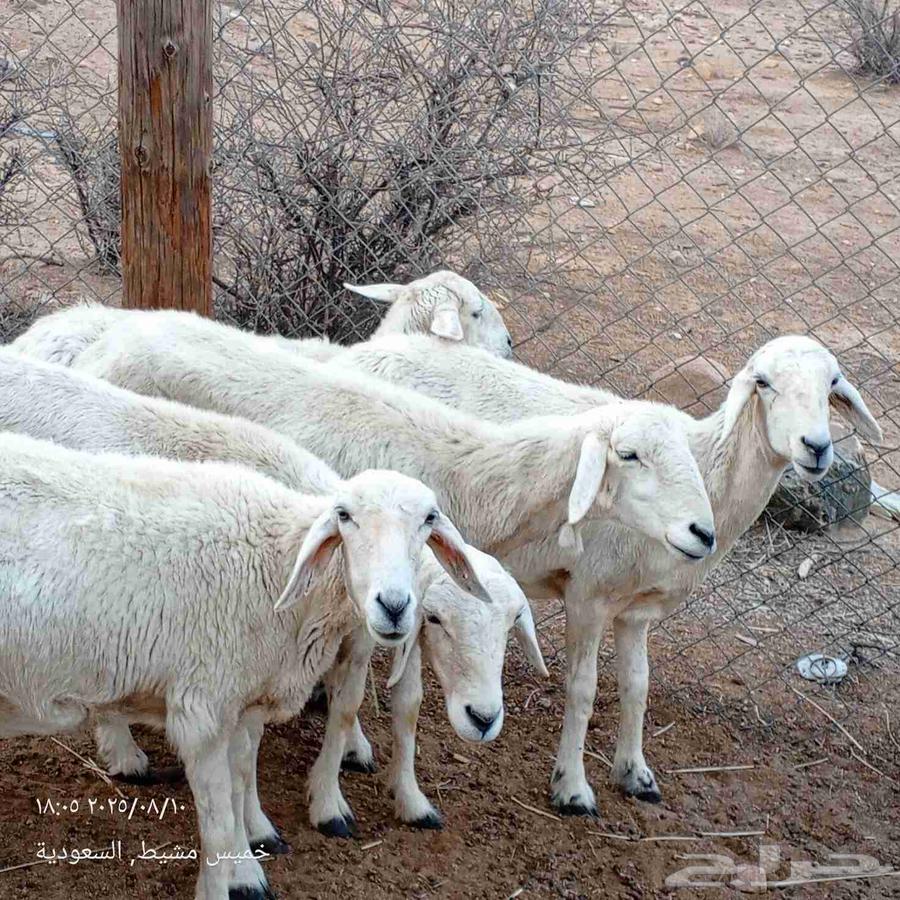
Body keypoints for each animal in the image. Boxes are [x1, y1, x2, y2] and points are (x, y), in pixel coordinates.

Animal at [0, 350, 544, 836]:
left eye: (511, 625)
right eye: (439, 620)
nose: (484, 718)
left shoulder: (354, 638)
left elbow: (386, 705)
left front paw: (404, 795)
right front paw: (325, 805)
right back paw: (126, 752)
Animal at [0, 432, 487, 899]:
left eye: (429, 519)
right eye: (344, 516)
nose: (394, 606)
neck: (280, 567)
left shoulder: (241, 703)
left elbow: (239, 787)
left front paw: (247, 859)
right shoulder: (202, 709)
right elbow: (217, 826)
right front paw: (230, 882)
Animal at [331, 332, 884, 814]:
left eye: (833, 383)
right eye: (764, 382)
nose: (816, 447)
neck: (709, 473)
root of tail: (364, 349)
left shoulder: (637, 610)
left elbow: (637, 685)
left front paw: (634, 772)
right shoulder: (588, 595)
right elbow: (583, 688)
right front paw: (572, 787)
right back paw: (353, 744)